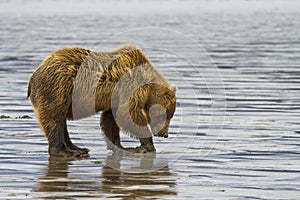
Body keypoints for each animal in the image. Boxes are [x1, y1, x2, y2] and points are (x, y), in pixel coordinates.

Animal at [27, 45, 177, 158]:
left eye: (171, 116)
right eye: (167, 115)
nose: (164, 134)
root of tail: (33, 76)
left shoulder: (115, 98)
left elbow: (110, 119)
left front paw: (120, 147)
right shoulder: (129, 88)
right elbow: (128, 115)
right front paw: (147, 145)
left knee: (60, 120)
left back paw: (78, 148)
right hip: (58, 87)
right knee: (54, 119)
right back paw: (65, 151)